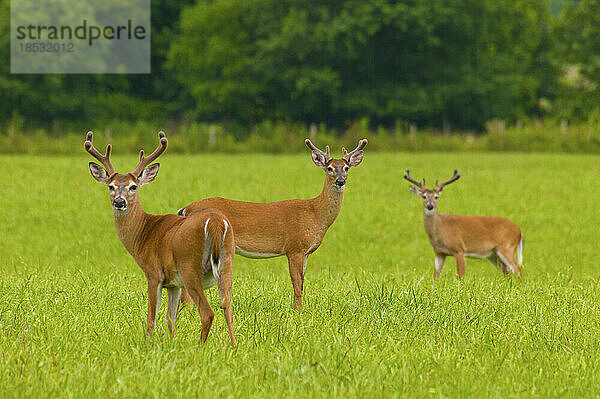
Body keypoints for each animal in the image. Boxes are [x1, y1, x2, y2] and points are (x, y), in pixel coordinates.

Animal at [85, 133, 236, 346]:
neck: (144, 233)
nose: (119, 202)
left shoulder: (153, 273)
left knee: (208, 313)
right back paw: (234, 345)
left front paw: (149, 344)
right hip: (227, 261)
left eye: (133, 186)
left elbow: (152, 318)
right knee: (226, 307)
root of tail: (215, 222)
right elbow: (170, 320)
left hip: (190, 266)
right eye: (111, 187)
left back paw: (199, 348)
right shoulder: (173, 284)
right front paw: (171, 343)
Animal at [176, 139, 368, 310]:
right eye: (329, 168)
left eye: (346, 168)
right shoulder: (294, 247)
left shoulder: (306, 252)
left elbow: (302, 282)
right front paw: (297, 311)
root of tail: (185, 209)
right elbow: (296, 283)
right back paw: (189, 309)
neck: (315, 213)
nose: (340, 181)